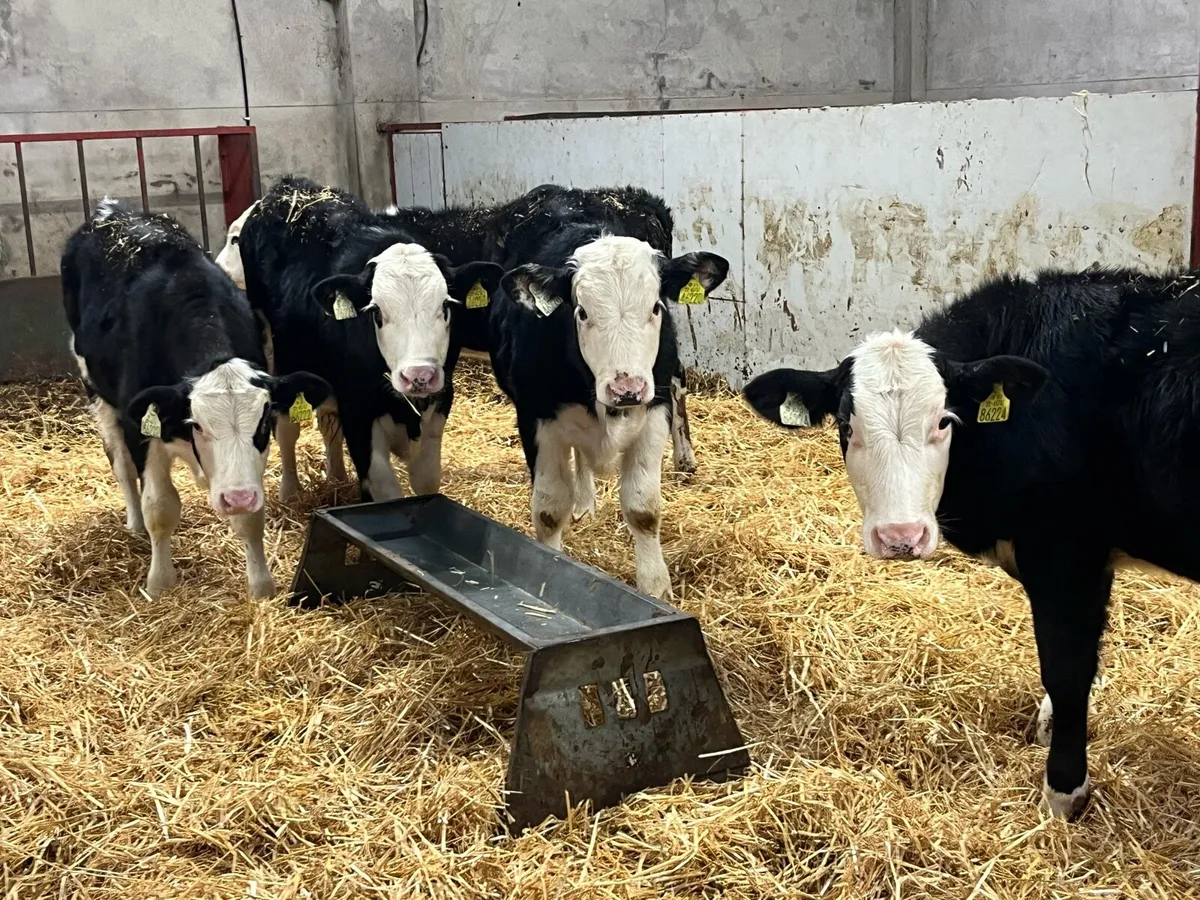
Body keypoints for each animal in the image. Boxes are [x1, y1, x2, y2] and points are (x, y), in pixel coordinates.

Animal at [61, 199, 331, 598]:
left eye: (263, 422)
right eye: (198, 424)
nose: (236, 498)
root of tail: (112, 209)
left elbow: (251, 517)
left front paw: (261, 586)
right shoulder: (141, 428)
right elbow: (159, 507)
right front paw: (159, 584)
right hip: (97, 393)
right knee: (121, 465)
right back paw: (134, 523)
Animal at [236, 176, 503, 504]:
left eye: (446, 306)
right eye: (376, 311)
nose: (419, 375)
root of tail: (291, 186)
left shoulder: (439, 402)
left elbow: (426, 480)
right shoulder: (358, 412)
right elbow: (385, 489)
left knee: (327, 421)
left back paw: (337, 477)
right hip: (278, 354)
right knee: (286, 426)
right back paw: (290, 492)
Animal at [490, 213, 729, 600]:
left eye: (656, 307)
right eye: (581, 312)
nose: (625, 389)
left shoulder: (655, 409)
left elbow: (643, 508)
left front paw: (655, 587)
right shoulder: (535, 416)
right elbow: (549, 509)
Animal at [742, 267, 1200, 819]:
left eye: (945, 420)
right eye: (846, 425)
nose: (900, 537)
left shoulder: (1066, 555)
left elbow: (1066, 671)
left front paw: (1063, 792)